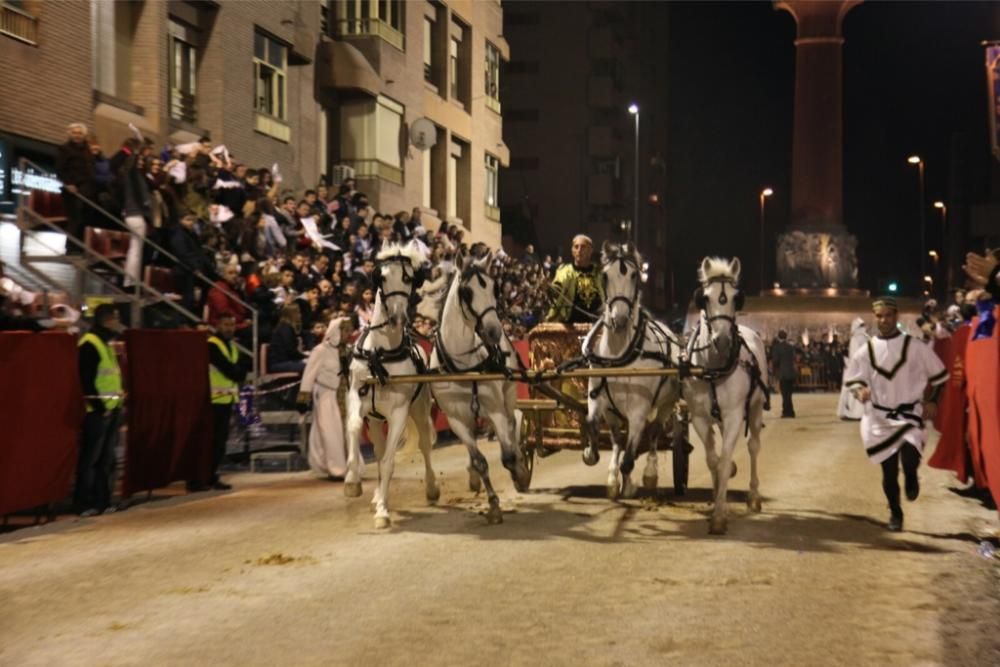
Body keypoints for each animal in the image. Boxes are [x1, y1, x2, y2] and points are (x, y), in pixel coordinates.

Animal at [344, 243, 438, 528]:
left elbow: (388, 461)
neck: (380, 352)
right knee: (378, 447)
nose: (397, 317)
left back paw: (431, 488)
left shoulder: (398, 413)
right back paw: (375, 494)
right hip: (375, 420)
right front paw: (352, 481)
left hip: (419, 409)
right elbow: (354, 428)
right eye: (382, 277)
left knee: (424, 445)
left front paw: (383, 512)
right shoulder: (356, 397)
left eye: (408, 278)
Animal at [434, 249, 536, 520]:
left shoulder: (495, 408)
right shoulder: (455, 419)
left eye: (494, 288)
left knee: (513, 424)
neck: (463, 366)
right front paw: (492, 503)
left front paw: (520, 472)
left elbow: (508, 456)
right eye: (467, 292)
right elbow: (480, 461)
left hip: (507, 397)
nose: (493, 332)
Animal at [584, 243, 684, 498]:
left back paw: (650, 473)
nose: (619, 319)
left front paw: (628, 486)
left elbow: (629, 458)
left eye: (634, 275)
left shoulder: (639, 410)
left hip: (666, 404)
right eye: (605, 275)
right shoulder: (599, 401)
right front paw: (592, 455)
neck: (620, 355)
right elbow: (594, 426)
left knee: (654, 433)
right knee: (620, 438)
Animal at [684, 258, 768, 536]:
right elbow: (713, 460)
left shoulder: (733, 415)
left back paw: (754, 495)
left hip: (755, 407)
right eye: (705, 298)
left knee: (753, 446)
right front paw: (716, 499)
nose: (721, 340)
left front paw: (720, 515)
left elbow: (725, 459)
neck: (712, 368)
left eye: (735, 298)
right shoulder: (699, 417)